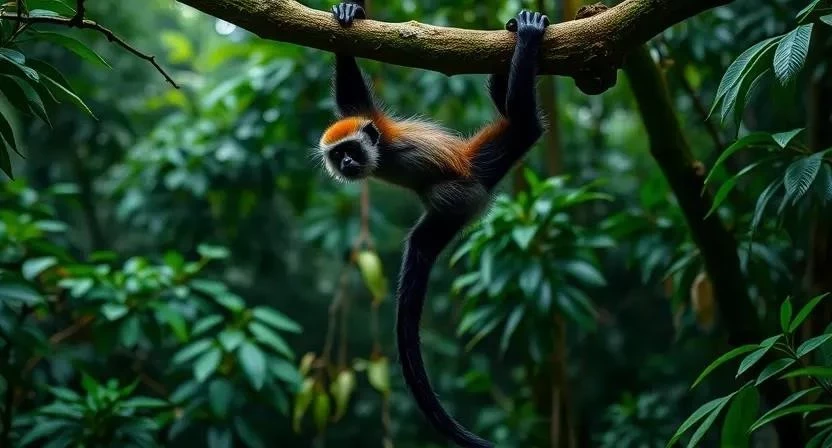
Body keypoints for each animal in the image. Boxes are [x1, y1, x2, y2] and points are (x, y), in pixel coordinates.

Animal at [317, 2, 549, 447]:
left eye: (351, 150)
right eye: (339, 156)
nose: (349, 163)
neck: (384, 154)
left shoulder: (383, 132)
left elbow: (357, 103)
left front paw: (351, 14)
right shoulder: (371, 126)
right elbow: (352, 101)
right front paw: (348, 16)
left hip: (474, 175)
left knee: (525, 124)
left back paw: (526, 43)